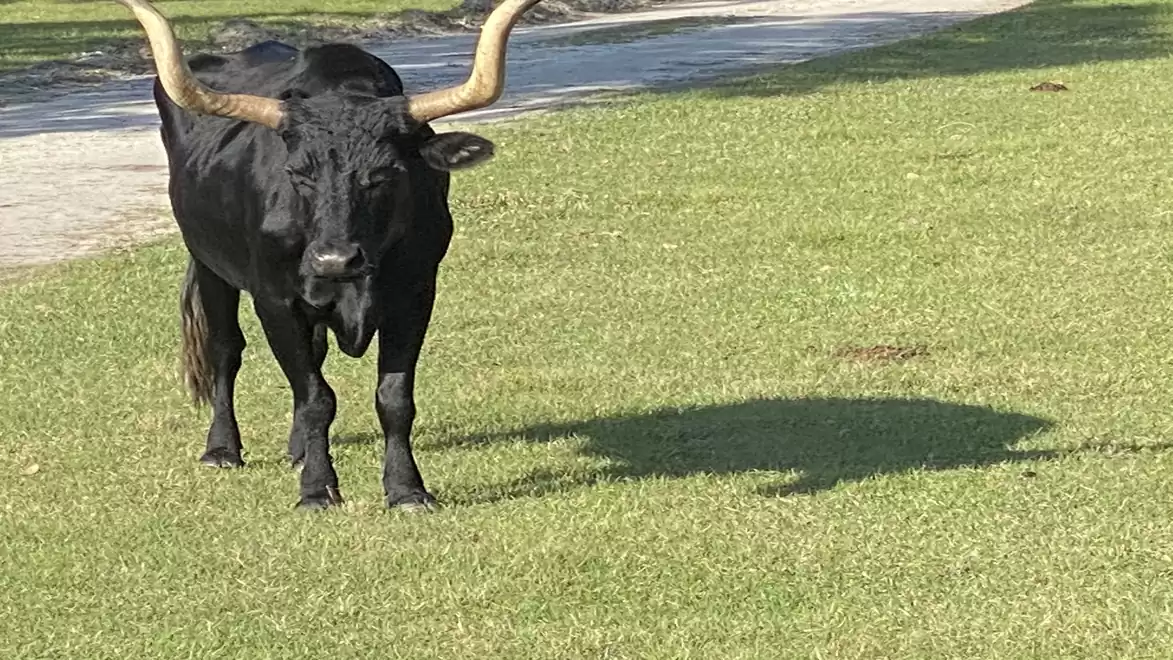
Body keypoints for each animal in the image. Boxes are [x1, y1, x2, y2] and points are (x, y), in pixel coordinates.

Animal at [113, 0, 542, 511]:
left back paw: (298, 449)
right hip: (207, 261)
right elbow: (316, 396)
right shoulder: (275, 301)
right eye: (299, 173)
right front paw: (317, 489)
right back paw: (222, 449)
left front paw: (406, 489)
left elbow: (393, 396)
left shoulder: (416, 294)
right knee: (226, 349)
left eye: (385, 174)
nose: (334, 261)